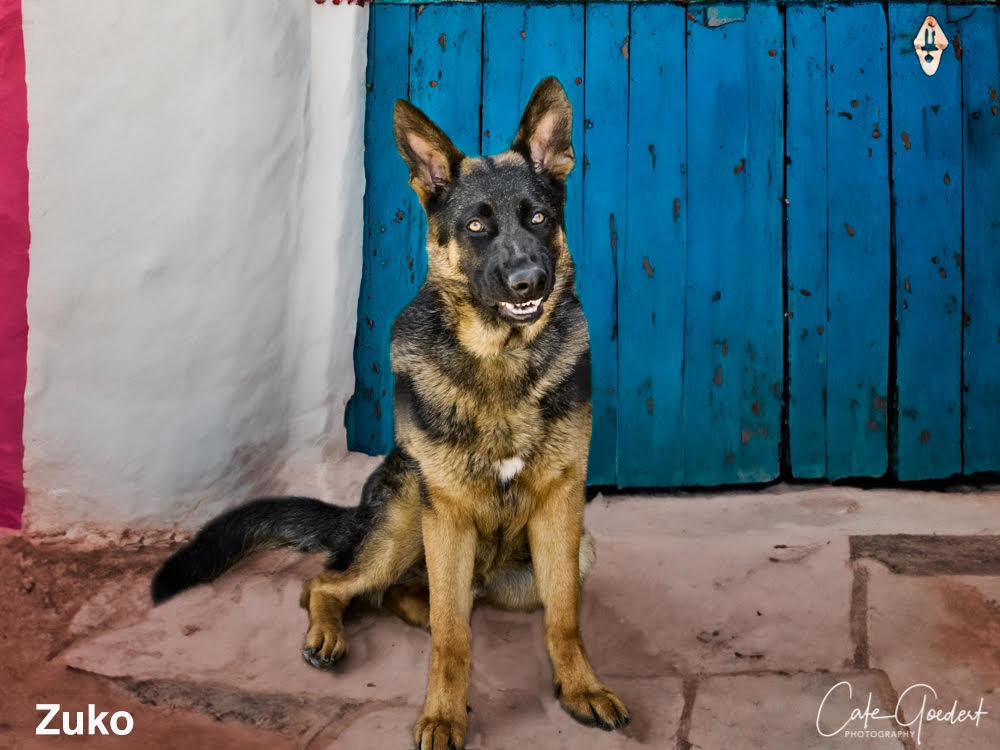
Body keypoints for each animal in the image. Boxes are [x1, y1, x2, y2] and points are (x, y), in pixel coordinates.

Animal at [152, 78, 628, 750]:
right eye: (476, 225)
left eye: (539, 217)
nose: (529, 280)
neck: (499, 361)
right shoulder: (445, 515)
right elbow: (453, 641)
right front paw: (443, 715)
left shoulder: (561, 506)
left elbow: (563, 618)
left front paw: (580, 686)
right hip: (405, 519)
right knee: (330, 585)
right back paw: (329, 632)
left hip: (556, 558)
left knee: (418, 600)